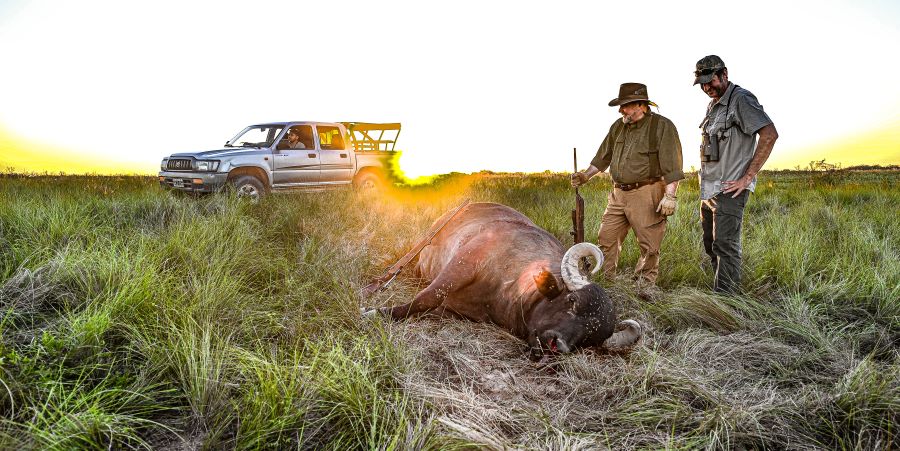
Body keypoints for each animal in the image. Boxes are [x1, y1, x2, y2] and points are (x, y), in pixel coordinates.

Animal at [363, 202, 642, 360]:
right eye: (571, 300)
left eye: (589, 339)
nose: (556, 346)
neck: (504, 291)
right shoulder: (464, 263)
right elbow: (426, 297)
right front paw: (375, 311)